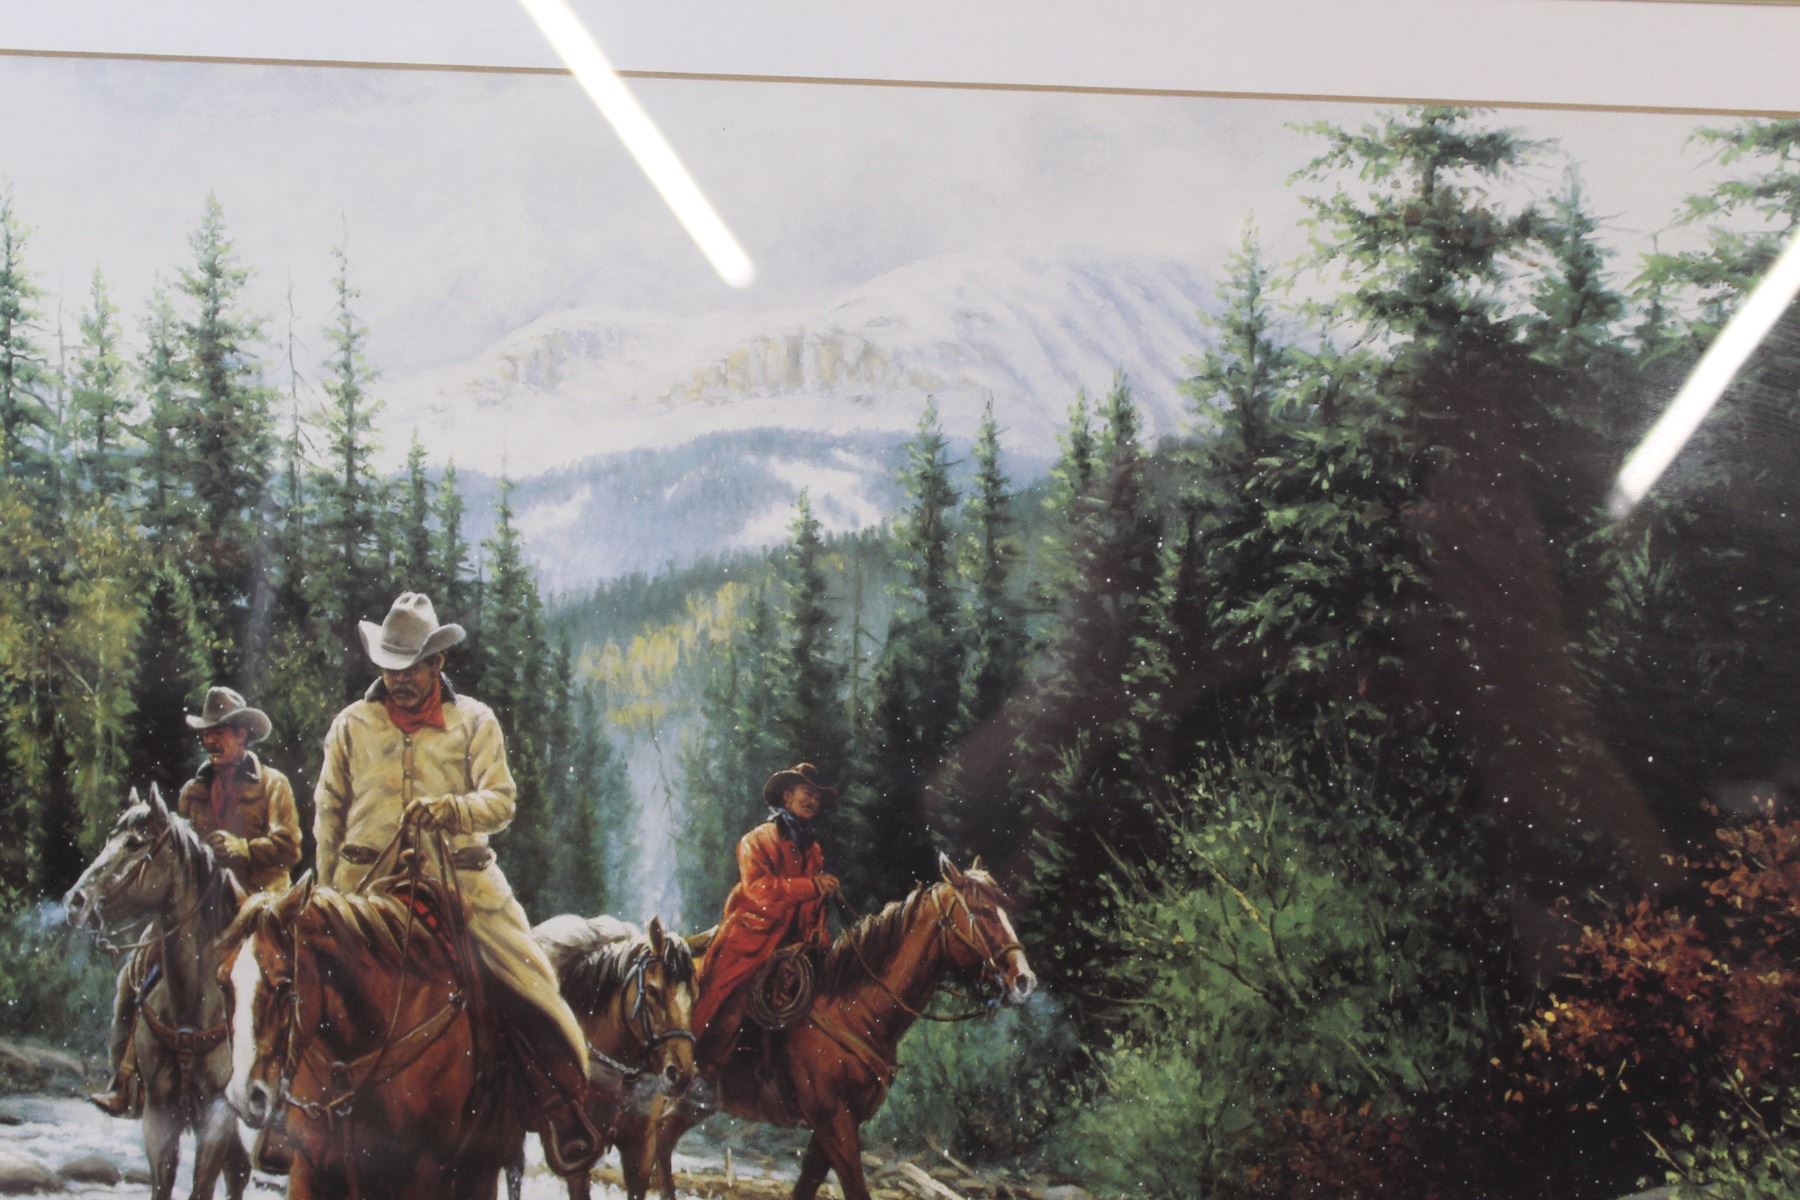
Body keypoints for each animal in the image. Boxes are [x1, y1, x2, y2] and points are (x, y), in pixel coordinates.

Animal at [63, 784, 253, 1200]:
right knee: (240, 1169)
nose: (75, 902)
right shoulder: (160, 1112)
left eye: (135, 844)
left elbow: (203, 1185)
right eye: (109, 839)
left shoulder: (217, 1113)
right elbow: (162, 1182)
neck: (195, 1005)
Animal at [220, 867, 526, 1200]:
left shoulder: (423, 1178)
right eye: (223, 983)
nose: (245, 1095)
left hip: (479, 1174)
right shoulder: (307, 1169)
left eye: (284, 984)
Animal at [659, 853, 1037, 1200]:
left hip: (695, 1104)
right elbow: (855, 1187)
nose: (1024, 980)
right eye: (980, 912)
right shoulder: (834, 1122)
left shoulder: (835, 1126)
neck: (854, 1010)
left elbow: (807, 1186)